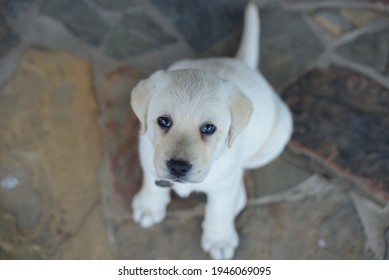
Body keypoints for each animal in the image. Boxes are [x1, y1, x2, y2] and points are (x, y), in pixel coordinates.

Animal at [130, 3, 292, 260]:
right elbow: (152, 182)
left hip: (275, 140)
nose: (178, 167)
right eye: (163, 121)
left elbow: (220, 210)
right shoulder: (148, 156)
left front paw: (219, 239)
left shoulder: (224, 185)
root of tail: (244, 64)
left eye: (209, 128)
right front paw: (149, 206)